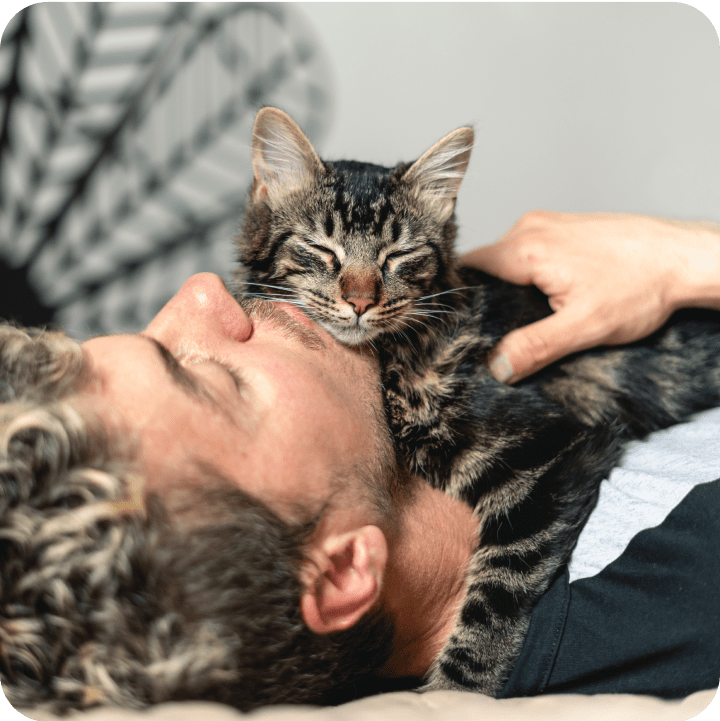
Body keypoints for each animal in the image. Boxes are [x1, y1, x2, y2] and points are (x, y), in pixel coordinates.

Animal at [233, 109, 720, 696]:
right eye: (323, 250)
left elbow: (498, 588)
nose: (359, 301)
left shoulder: (553, 450)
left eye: (398, 256)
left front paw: (456, 691)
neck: (391, 360)